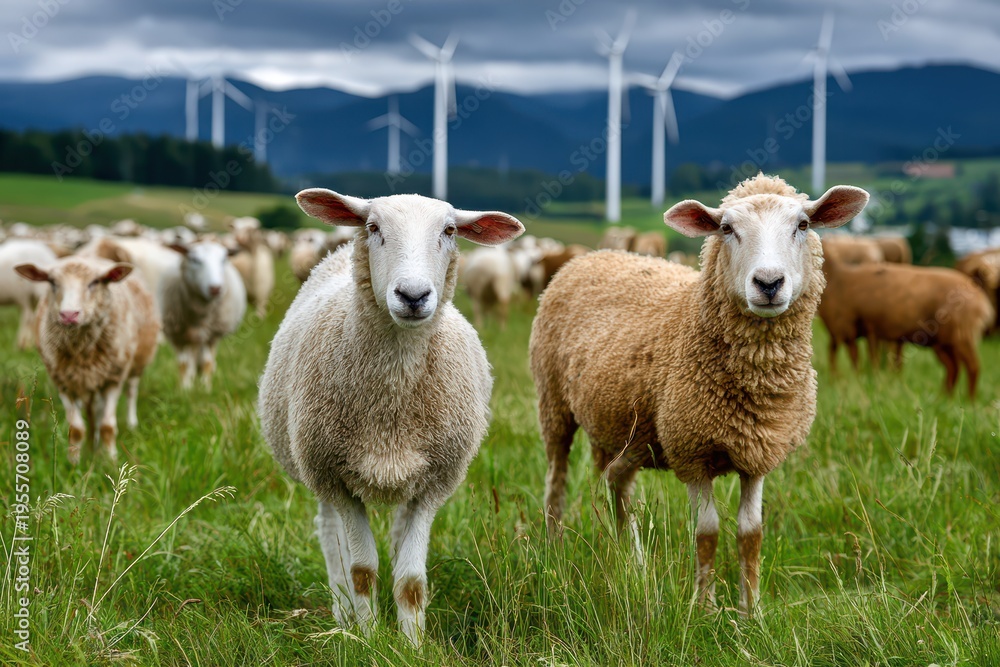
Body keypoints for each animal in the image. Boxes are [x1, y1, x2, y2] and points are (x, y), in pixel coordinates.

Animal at [15, 256, 160, 463]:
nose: (69, 315)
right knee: (95, 410)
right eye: (52, 282)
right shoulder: (64, 383)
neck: (82, 352)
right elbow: (76, 429)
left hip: (137, 362)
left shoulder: (113, 379)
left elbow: (108, 426)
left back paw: (131, 424)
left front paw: (111, 460)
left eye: (95, 282)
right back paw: (94, 443)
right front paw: (73, 462)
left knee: (131, 391)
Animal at [162, 241, 247, 390]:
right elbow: (183, 364)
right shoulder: (177, 335)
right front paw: (184, 389)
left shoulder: (212, 335)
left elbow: (207, 362)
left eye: (224, 259)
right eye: (195, 260)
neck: (200, 313)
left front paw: (205, 389)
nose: (215, 288)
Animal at [258, 189, 524, 645]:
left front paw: (412, 645)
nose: (413, 295)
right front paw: (367, 639)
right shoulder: (336, 477)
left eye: (449, 230)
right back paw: (342, 613)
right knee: (331, 539)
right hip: (315, 465)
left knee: (397, 541)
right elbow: (362, 570)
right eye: (374, 228)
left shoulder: (435, 483)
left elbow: (411, 580)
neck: (391, 402)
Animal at [530, 174, 869, 615]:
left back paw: (629, 562)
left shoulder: (758, 454)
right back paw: (554, 551)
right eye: (726, 228)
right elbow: (706, 533)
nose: (769, 283)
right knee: (556, 481)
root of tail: (593, 256)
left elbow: (751, 534)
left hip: (619, 426)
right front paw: (704, 608)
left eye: (803, 225)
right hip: (553, 402)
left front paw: (750, 611)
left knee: (615, 485)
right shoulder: (692, 453)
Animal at [821, 258, 993, 397]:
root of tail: (981, 301)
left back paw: (969, 401)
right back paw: (944, 398)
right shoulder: (852, 331)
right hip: (944, 342)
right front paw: (837, 381)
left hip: (960, 336)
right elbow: (837, 355)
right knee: (953, 368)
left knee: (972, 367)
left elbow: (855, 359)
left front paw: (855, 381)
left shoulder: (847, 328)